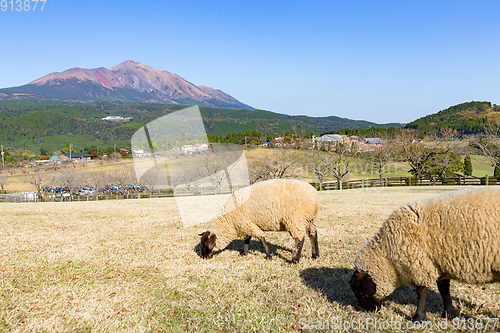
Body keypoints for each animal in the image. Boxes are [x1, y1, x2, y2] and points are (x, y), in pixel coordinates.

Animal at [348, 185, 500, 320]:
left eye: (358, 292)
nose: (370, 310)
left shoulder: (419, 263)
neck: (389, 255)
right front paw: (449, 314)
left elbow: (421, 292)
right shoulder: (438, 263)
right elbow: (444, 289)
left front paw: (418, 318)